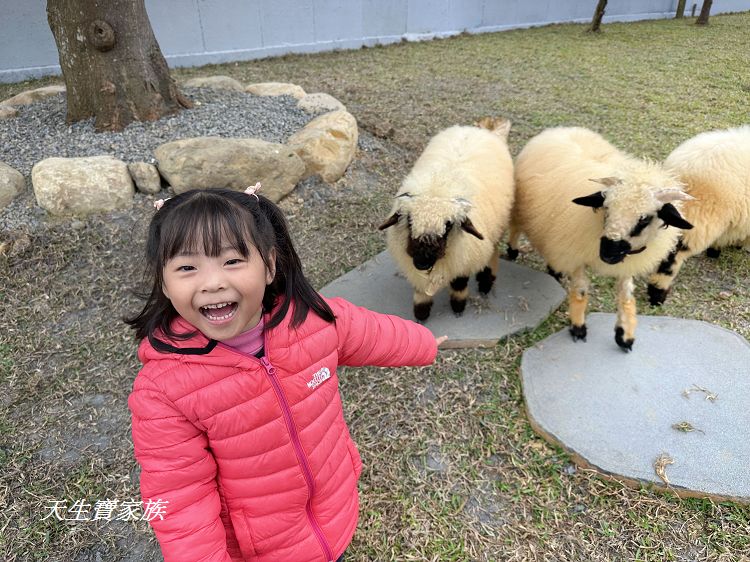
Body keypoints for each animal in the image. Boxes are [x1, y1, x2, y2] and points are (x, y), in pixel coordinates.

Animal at [378, 118, 516, 320]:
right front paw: (421, 312)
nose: (422, 262)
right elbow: (420, 288)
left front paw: (458, 307)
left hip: (497, 226)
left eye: (448, 226)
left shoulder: (464, 257)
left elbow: (459, 283)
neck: (441, 182)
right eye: (409, 221)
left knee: (492, 252)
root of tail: (483, 131)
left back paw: (485, 283)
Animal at [512, 126, 692, 350]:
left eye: (644, 219)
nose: (607, 254)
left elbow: (626, 297)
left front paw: (624, 335)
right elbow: (580, 291)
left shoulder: (627, 262)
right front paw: (578, 328)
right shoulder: (575, 253)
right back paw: (513, 251)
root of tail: (561, 129)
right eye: (607, 208)